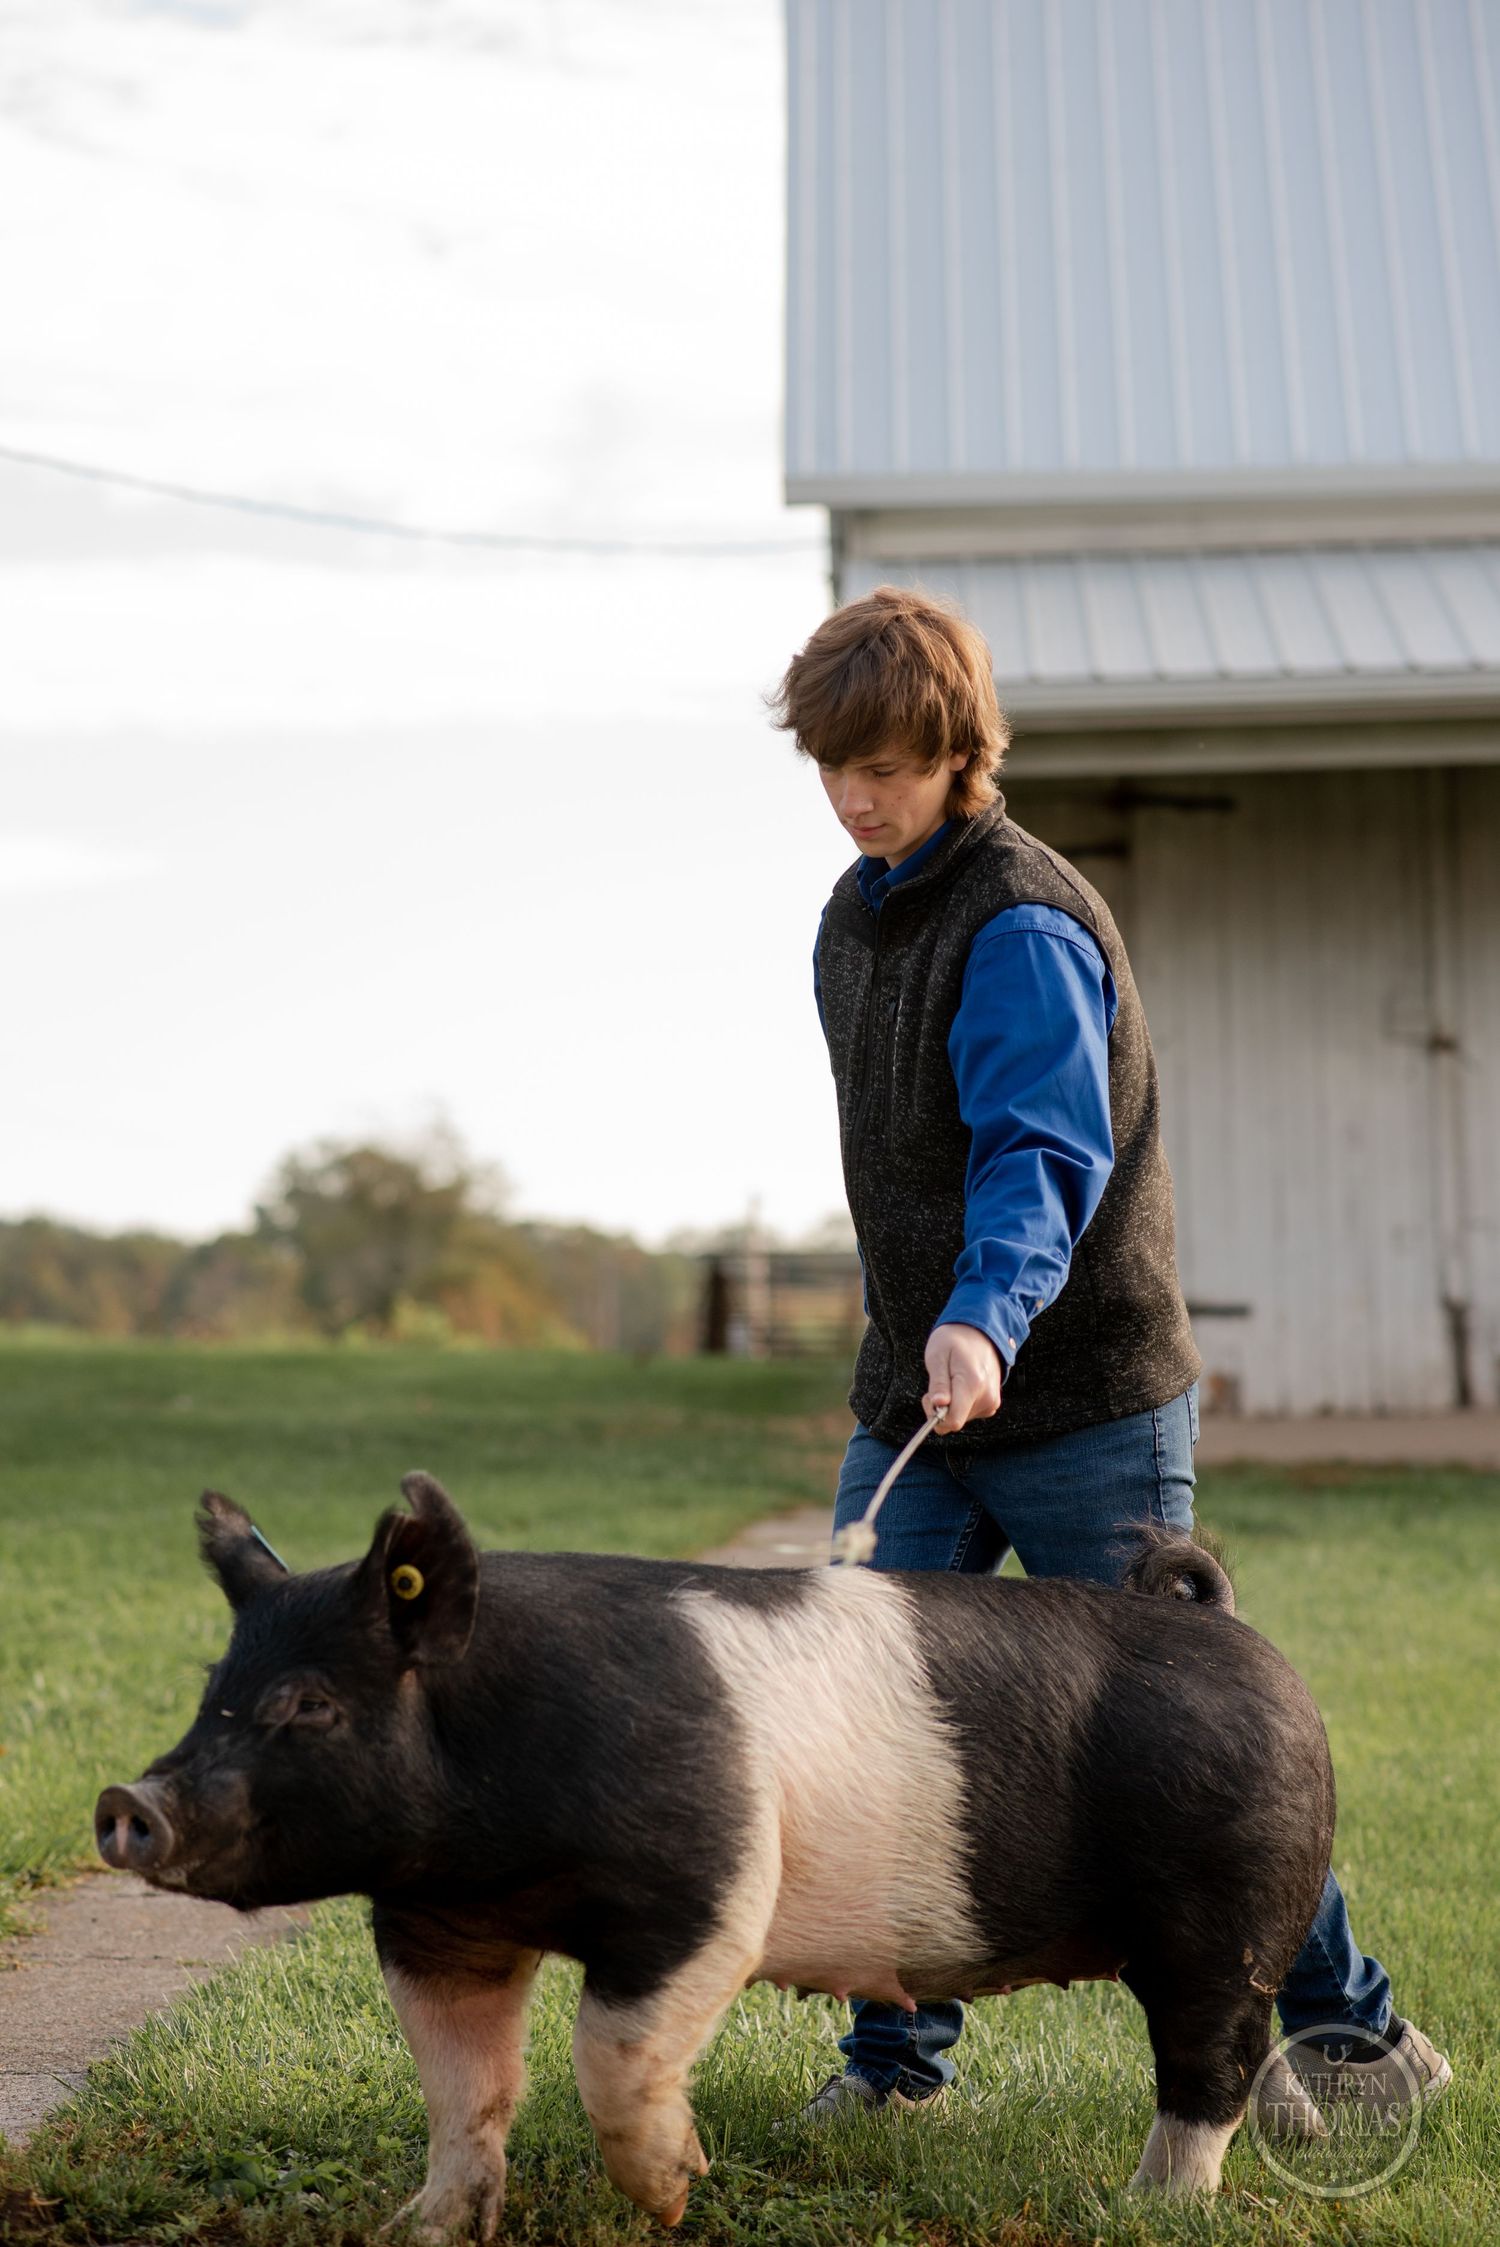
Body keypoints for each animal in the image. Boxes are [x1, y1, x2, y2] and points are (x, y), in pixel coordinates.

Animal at [96, 1472, 1334, 2234]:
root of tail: (1232, 1627)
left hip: (1231, 1908)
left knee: (1211, 2064)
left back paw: (1149, 2211)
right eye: (214, 1694)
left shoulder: (706, 1887)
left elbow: (609, 2046)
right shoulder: (437, 1928)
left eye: (310, 1705)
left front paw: (672, 2199)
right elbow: (463, 2088)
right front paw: (426, 2228)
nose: (126, 1799)